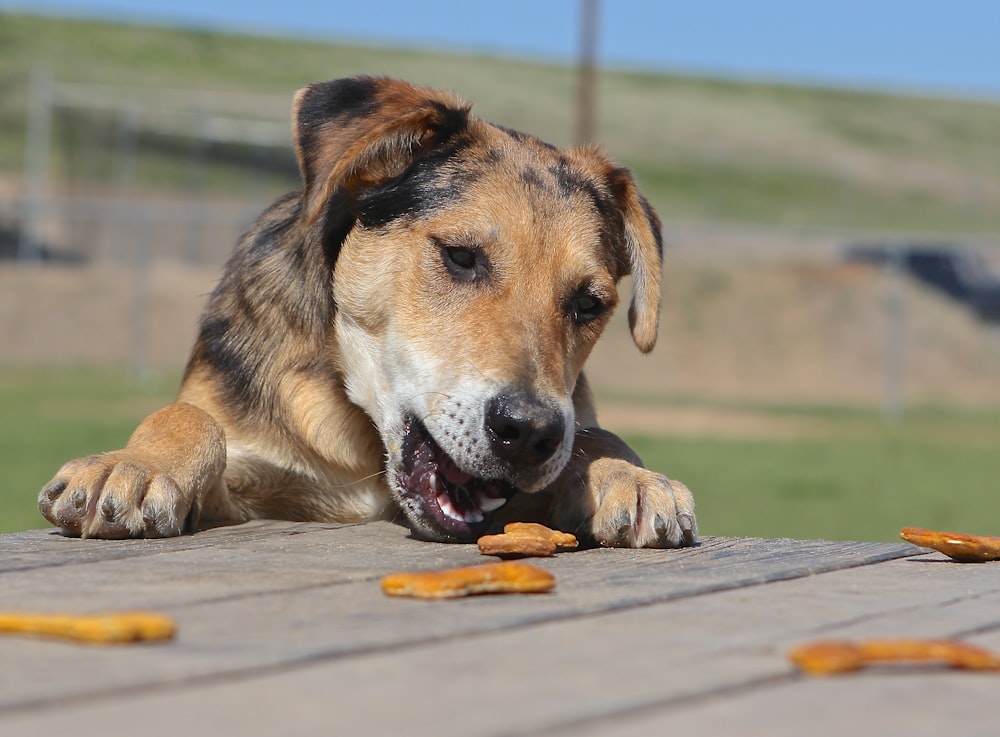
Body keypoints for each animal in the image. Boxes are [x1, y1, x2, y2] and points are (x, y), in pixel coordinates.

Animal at [37, 76, 696, 548]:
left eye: (589, 303)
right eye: (460, 256)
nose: (531, 432)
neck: (364, 440)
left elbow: (593, 433)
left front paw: (631, 477)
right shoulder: (248, 491)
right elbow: (187, 416)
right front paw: (134, 466)